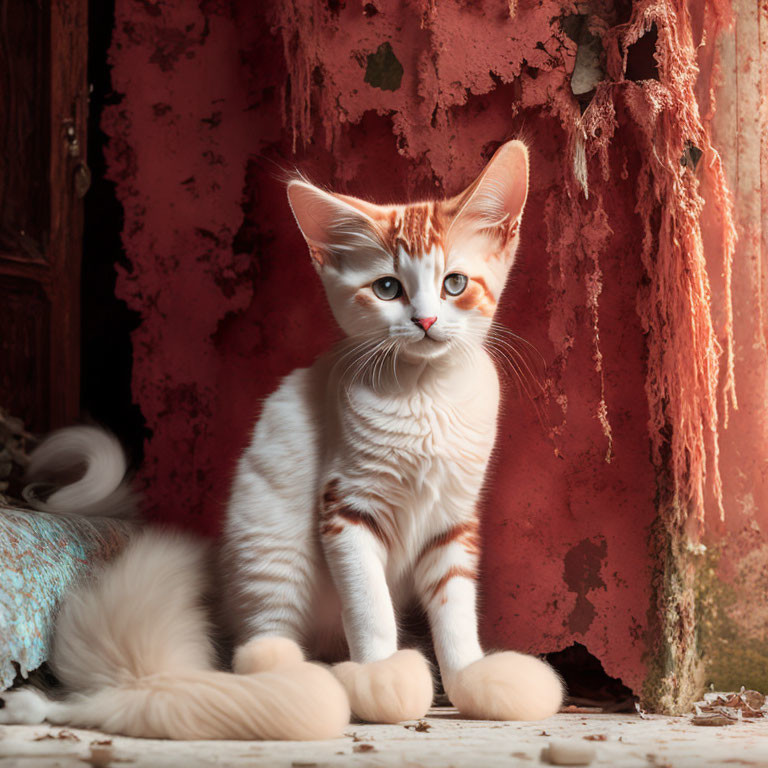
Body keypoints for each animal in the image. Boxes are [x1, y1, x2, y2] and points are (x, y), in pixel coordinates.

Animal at [0, 138, 564, 736]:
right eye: (388, 288)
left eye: (454, 283)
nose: (426, 321)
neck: (425, 395)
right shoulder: (345, 507)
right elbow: (370, 605)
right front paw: (382, 674)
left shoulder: (454, 517)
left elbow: (455, 608)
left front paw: (469, 679)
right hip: (272, 545)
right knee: (256, 650)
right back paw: (297, 685)